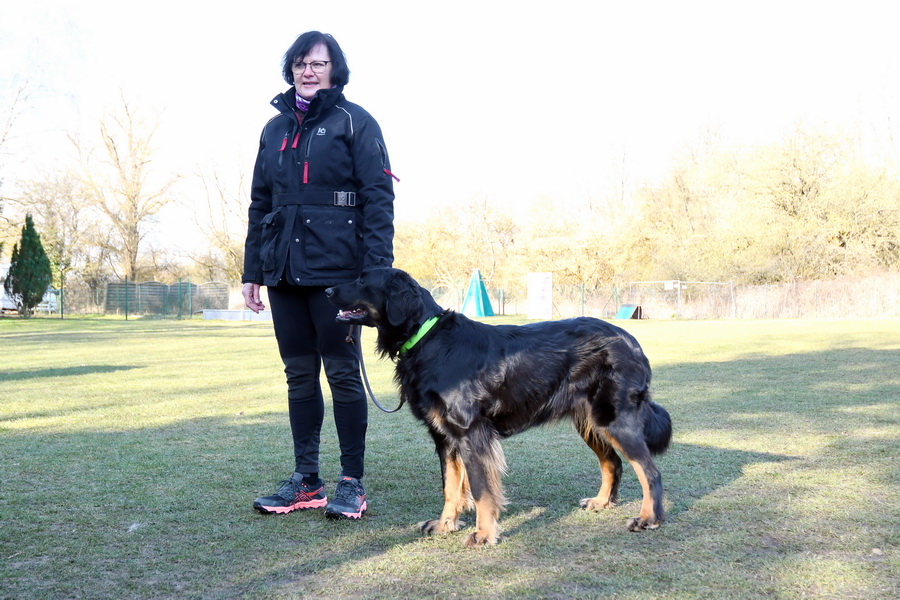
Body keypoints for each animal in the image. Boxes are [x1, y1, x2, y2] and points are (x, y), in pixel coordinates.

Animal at [326, 268, 672, 548]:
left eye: (361, 280)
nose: (327, 291)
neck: (427, 339)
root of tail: (632, 342)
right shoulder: (445, 438)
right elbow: (451, 487)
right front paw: (445, 525)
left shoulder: (472, 433)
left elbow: (481, 490)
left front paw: (483, 534)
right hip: (590, 421)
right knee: (613, 462)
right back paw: (602, 502)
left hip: (613, 418)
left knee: (650, 471)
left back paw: (648, 519)